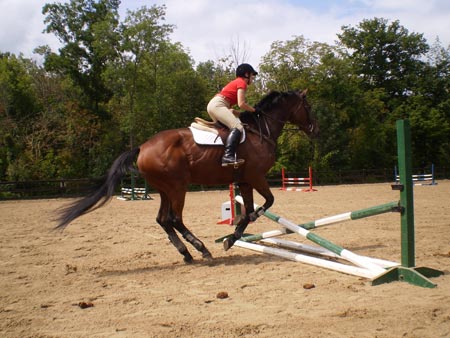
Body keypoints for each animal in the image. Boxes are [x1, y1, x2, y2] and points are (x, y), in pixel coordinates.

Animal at [56, 90, 318, 264]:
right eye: (308, 107)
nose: (315, 129)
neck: (259, 131)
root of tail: (143, 147)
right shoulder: (255, 177)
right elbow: (267, 202)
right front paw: (239, 230)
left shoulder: (244, 180)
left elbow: (247, 212)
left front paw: (232, 237)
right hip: (177, 187)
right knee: (174, 219)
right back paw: (201, 249)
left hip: (164, 189)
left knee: (163, 220)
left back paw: (186, 253)